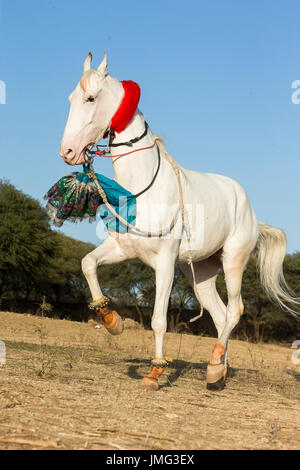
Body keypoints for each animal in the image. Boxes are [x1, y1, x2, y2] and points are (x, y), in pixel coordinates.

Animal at [59, 51, 298, 392]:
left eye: (90, 98)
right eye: (70, 98)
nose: (68, 151)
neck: (142, 189)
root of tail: (251, 209)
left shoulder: (165, 264)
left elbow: (159, 320)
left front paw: (154, 373)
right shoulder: (122, 250)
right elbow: (87, 264)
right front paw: (112, 322)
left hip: (233, 261)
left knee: (235, 310)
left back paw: (215, 368)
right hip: (202, 275)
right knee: (220, 315)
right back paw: (217, 370)